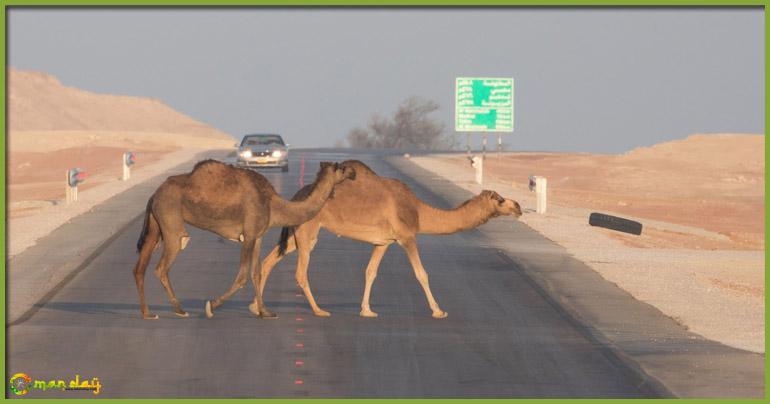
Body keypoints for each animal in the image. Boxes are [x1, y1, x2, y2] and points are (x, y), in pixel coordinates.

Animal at [131, 159, 356, 320]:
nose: (353, 172)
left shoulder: (257, 236)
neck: (274, 205)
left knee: (139, 268)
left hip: (156, 226)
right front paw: (211, 306)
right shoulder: (248, 234)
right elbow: (242, 276)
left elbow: (257, 273)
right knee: (162, 267)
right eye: (342, 167)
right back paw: (179, 309)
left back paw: (148, 313)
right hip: (171, 222)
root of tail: (154, 195)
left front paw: (265, 312)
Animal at [218, 159, 520, 320]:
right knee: (300, 272)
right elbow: (421, 273)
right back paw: (319, 311)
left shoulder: (383, 242)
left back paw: (256, 307)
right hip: (309, 230)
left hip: (295, 233)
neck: (419, 211)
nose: (517, 206)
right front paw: (438, 311)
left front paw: (366, 310)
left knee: (269, 260)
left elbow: (370, 272)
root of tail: (297, 196)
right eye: (499, 199)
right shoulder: (407, 235)